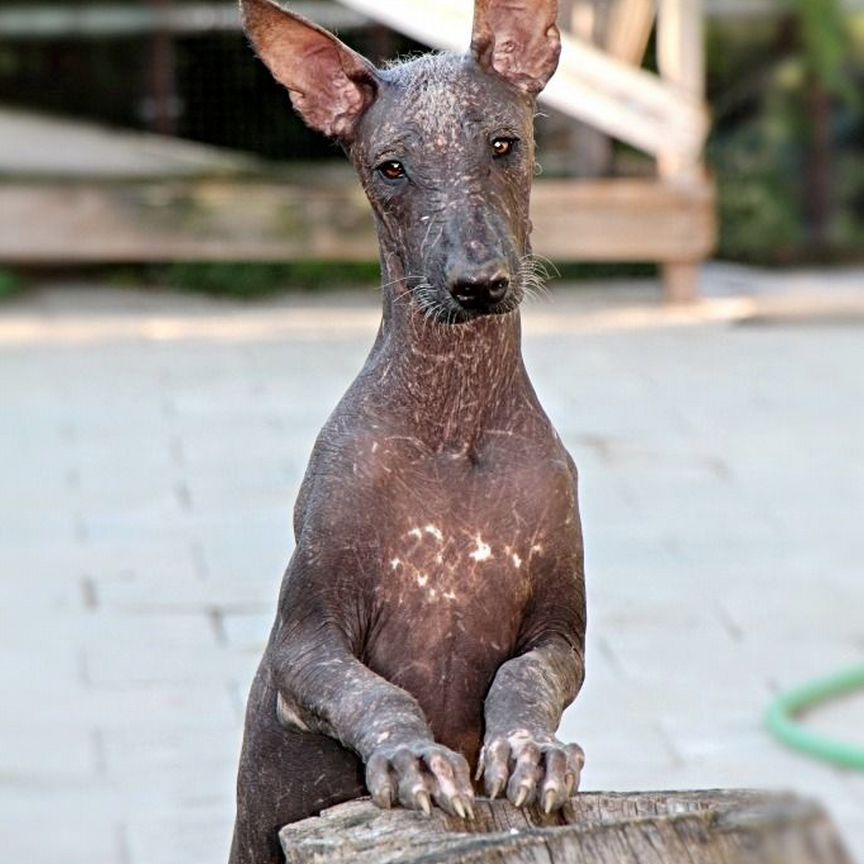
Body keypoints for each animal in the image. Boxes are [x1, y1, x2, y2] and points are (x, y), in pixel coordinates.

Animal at [233, 3, 588, 860]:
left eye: (505, 144)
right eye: (391, 168)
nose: (478, 284)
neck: (453, 423)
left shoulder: (562, 633)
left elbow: (523, 680)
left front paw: (532, 751)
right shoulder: (303, 645)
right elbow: (378, 697)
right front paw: (414, 760)